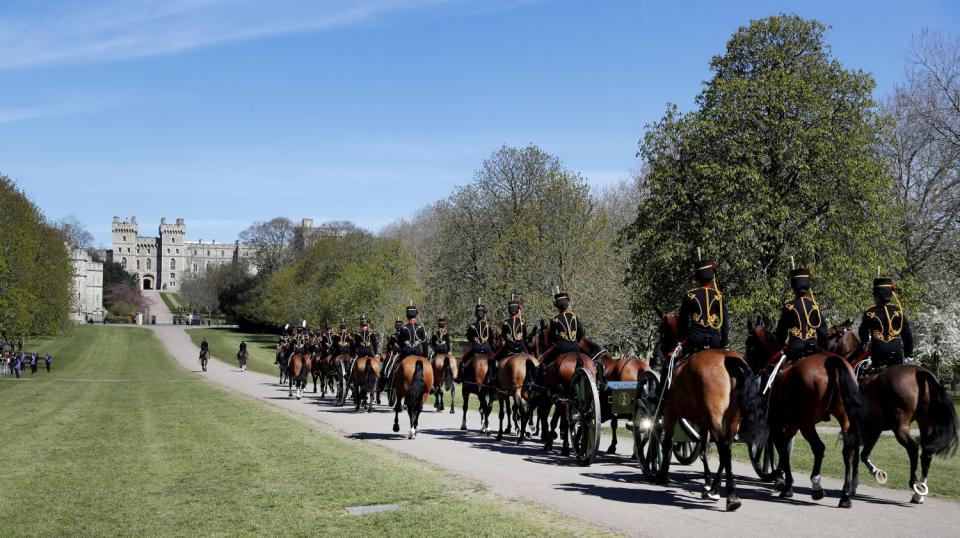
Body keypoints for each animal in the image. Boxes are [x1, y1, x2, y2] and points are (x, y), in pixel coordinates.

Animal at [652, 308, 764, 508]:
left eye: (661, 330)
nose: (661, 355)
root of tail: (727, 359)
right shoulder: (703, 421)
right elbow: (704, 449)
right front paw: (707, 484)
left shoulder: (670, 411)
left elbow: (668, 442)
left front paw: (663, 474)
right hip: (731, 418)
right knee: (726, 447)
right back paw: (719, 489)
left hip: (714, 417)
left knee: (723, 447)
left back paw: (730, 494)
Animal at [748, 322, 872, 506]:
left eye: (749, 345)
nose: (749, 367)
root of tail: (832, 361)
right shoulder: (791, 424)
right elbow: (784, 449)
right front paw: (781, 478)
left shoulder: (777, 422)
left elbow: (781, 448)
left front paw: (785, 483)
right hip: (843, 420)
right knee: (849, 451)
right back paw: (845, 495)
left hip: (806, 423)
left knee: (819, 448)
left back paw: (817, 486)